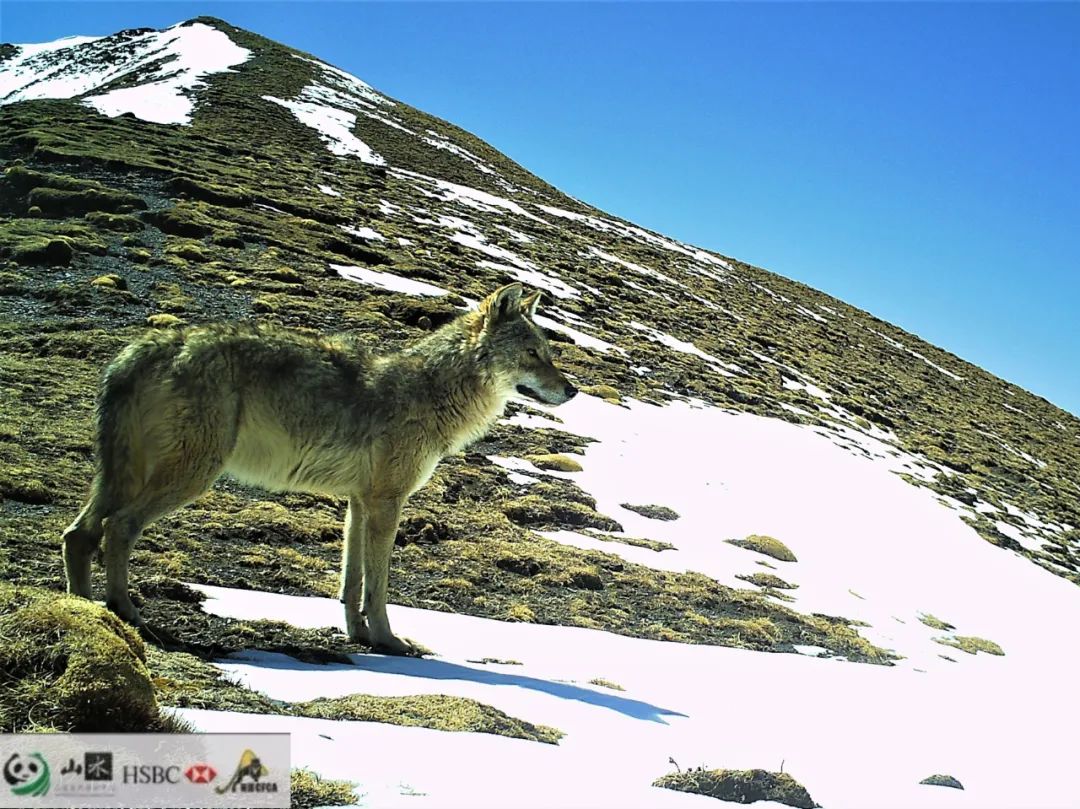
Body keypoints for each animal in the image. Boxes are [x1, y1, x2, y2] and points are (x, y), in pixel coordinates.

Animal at [63, 280, 578, 652]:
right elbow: (378, 587)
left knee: (78, 534)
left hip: (126, 476)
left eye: (549, 353)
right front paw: (390, 641)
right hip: (190, 475)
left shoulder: (358, 503)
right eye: (533, 354)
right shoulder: (387, 503)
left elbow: (351, 583)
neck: (431, 391)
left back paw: (85, 613)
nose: (572, 391)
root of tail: (149, 343)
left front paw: (360, 637)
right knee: (117, 528)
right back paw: (125, 611)